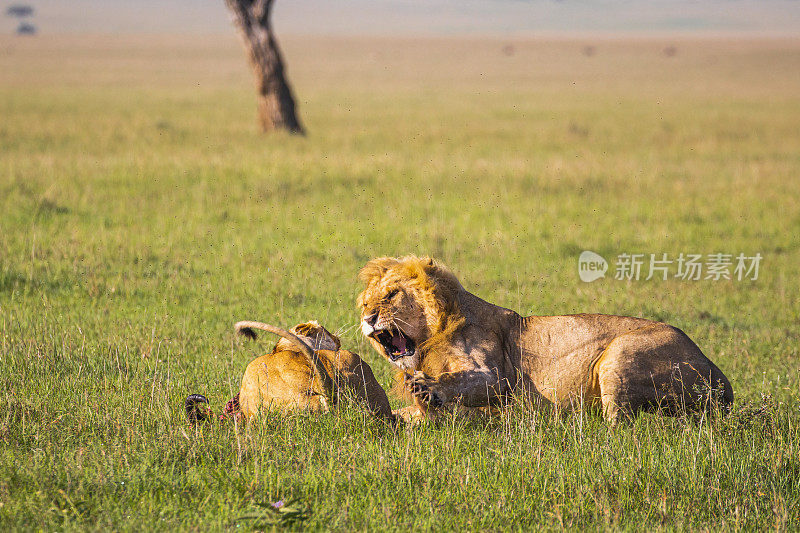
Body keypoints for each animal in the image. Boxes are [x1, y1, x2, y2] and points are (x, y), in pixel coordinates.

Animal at [360, 256, 736, 422]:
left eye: (391, 295)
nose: (368, 318)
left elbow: (469, 381)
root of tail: (721, 376)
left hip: (620, 353)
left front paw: (427, 388)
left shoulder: (497, 378)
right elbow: (406, 413)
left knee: (621, 426)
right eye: (365, 302)